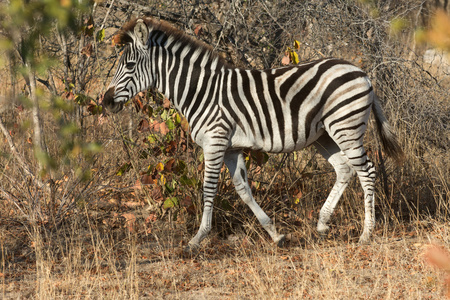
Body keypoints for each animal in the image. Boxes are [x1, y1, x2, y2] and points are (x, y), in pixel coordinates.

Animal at [103, 17, 404, 250]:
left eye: (129, 66)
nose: (105, 102)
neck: (200, 91)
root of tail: (362, 72)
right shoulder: (231, 147)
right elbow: (243, 190)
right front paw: (276, 234)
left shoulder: (215, 141)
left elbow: (209, 188)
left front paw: (197, 239)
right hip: (324, 134)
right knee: (344, 169)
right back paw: (321, 224)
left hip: (345, 128)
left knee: (367, 171)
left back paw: (366, 233)